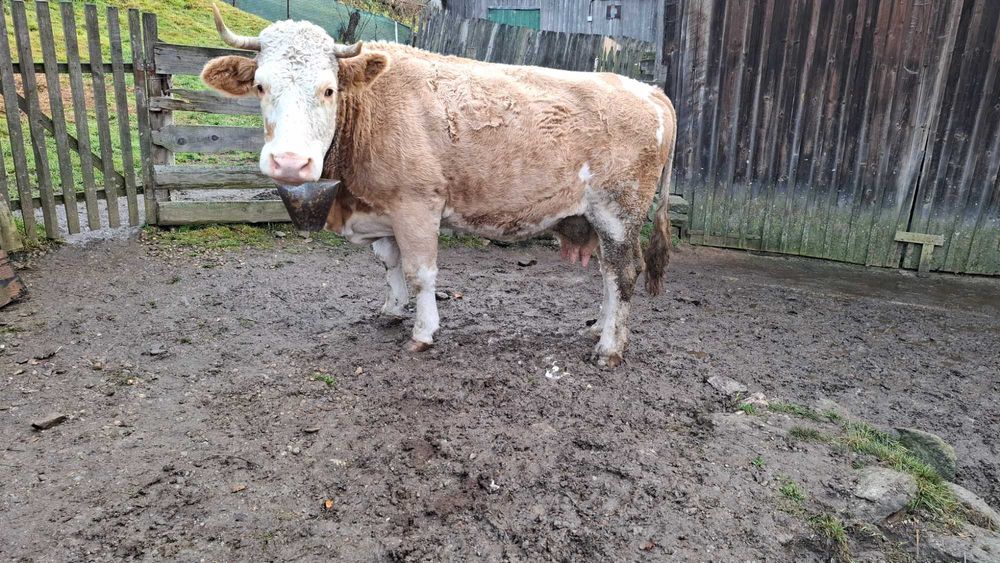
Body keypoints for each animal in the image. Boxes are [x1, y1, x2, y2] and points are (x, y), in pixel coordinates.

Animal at [200, 6, 676, 367]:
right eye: (260, 86)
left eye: (329, 90)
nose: (290, 162)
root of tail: (645, 88)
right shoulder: (384, 207)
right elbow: (389, 264)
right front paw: (392, 310)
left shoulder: (417, 204)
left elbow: (420, 273)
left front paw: (423, 332)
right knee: (608, 275)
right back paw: (600, 326)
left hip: (618, 211)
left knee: (623, 271)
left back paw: (610, 347)